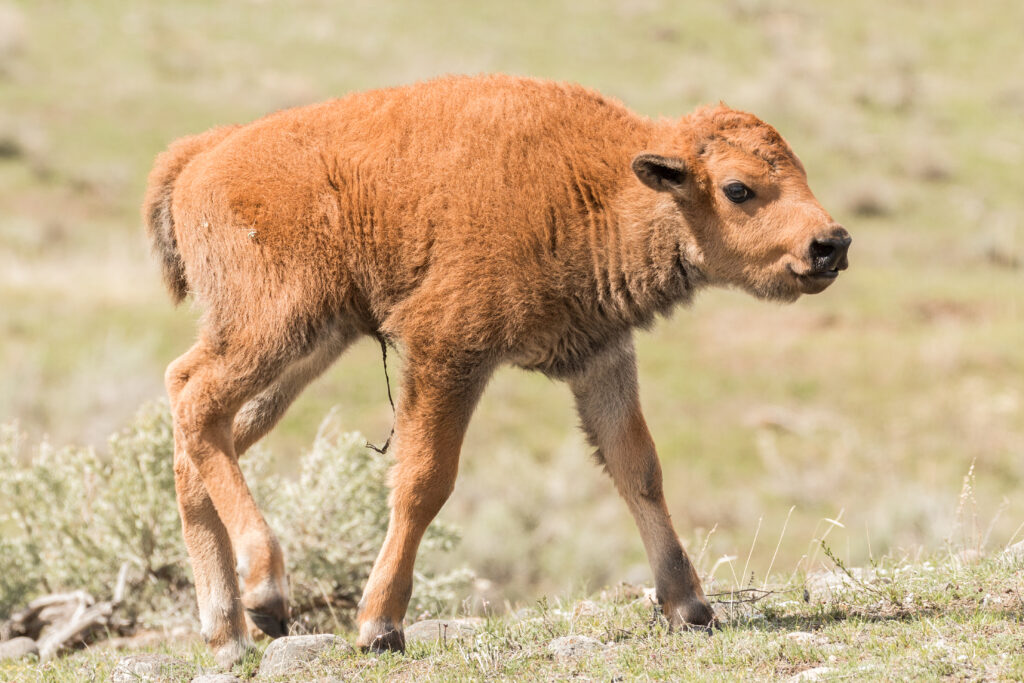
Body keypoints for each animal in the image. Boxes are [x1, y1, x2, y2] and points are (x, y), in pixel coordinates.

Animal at [144, 74, 847, 667]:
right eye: (738, 188)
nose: (831, 244)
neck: (604, 185)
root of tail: (201, 155)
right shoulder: (450, 352)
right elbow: (425, 481)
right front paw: (379, 627)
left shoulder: (601, 358)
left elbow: (638, 470)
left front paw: (690, 607)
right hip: (276, 327)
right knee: (197, 400)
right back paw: (266, 593)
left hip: (303, 348)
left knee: (196, 430)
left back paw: (228, 634)